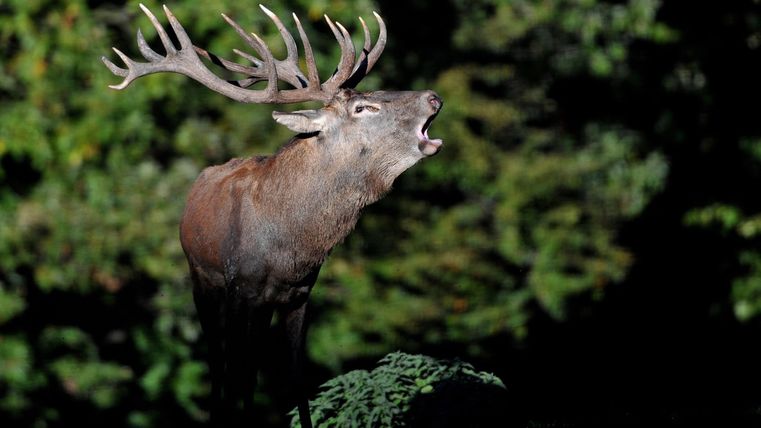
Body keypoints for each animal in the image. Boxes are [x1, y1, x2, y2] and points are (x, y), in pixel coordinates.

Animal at [102, 4, 443, 427]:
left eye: (373, 94)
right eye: (364, 107)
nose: (433, 97)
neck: (290, 250)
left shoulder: (300, 295)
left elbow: (295, 378)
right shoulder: (241, 290)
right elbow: (240, 373)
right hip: (201, 281)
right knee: (219, 362)